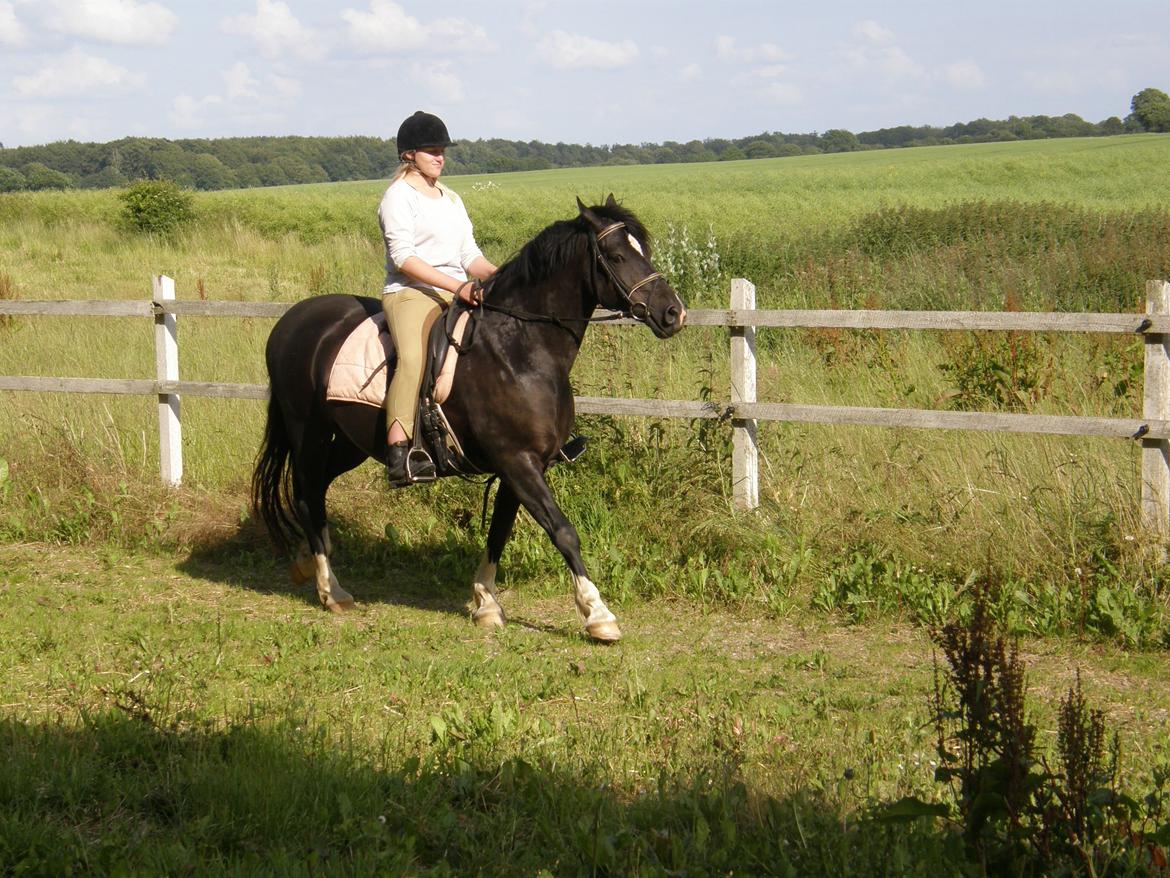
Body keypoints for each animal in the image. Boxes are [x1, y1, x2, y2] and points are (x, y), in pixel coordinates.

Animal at [249, 195, 683, 641]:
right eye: (617, 256)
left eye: (644, 251)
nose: (673, 313)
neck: (519, 349)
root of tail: (291, 321)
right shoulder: (517, 461)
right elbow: (562, 530)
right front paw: (598, 615)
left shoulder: (522, 466)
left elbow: (499, 532)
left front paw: (486, 603)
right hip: (310, 435)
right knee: (306, 493)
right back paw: (331, 590)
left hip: (351, 444)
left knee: (315, 490)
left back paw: (308, 565)